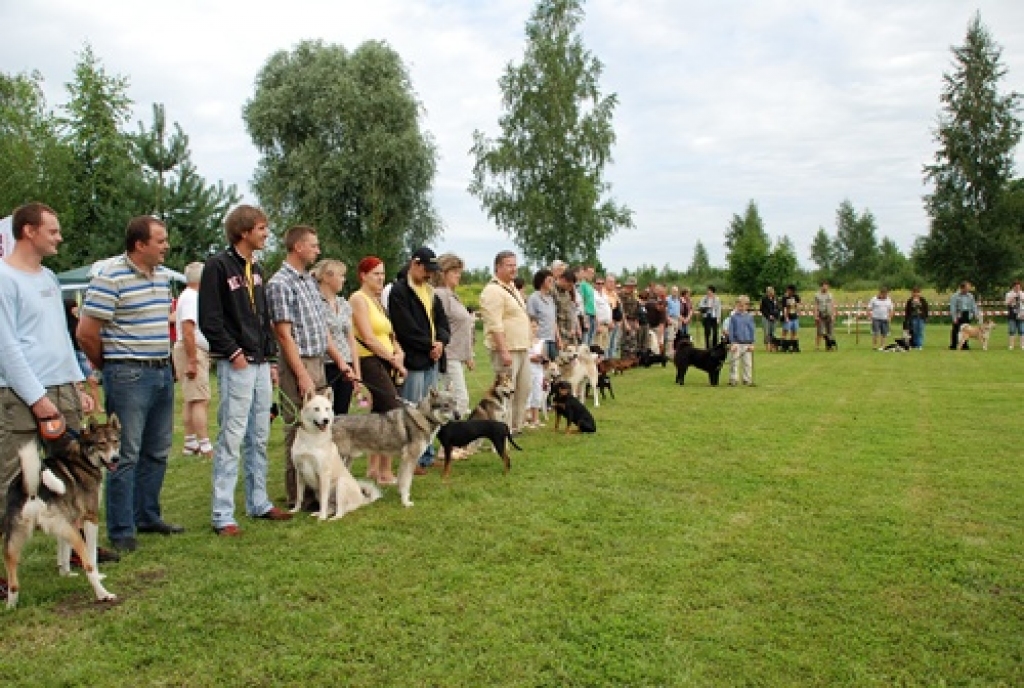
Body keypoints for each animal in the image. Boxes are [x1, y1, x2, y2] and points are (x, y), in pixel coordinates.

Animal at [290, 389, 382, 518]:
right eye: (316, 409)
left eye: (327, 408)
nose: (326, 420)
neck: (311, 437)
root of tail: (362, 499)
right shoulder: (299, 472)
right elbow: (299, 496)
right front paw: (296, 510)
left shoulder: (323, 474)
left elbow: (323, 500)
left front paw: (322, 518)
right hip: (319, 492)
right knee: (331, 507)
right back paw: (318, 513)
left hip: (340, 485)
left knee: (341, 511)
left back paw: (331, 518)